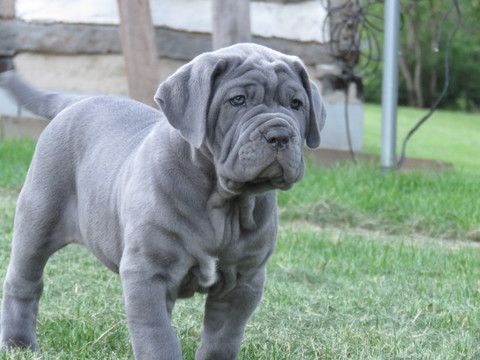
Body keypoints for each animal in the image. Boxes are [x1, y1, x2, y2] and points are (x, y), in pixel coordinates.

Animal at [0, 43, 326, 358]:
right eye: (238, 101)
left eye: (296, 104)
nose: (280, 134)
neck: (223, 202)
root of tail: (75, 102)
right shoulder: (148, 272)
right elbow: (157, 336)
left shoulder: (244, 281)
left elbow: (223, 337)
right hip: (38, 217)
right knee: (24, 281)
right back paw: (18, 343)